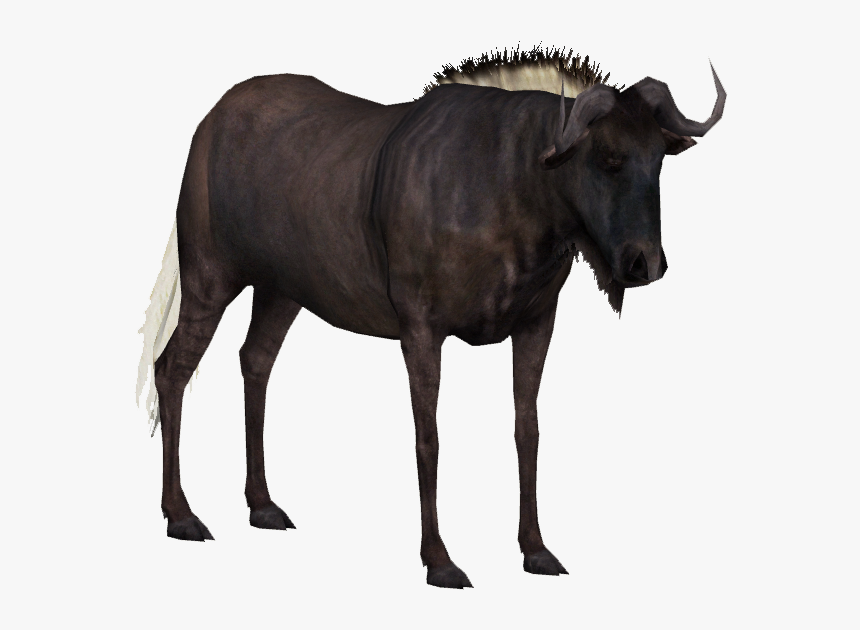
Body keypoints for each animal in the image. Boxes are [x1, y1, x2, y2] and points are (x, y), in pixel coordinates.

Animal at [136, 48, 725, 588]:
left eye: (658, 159)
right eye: (607, 157)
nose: (645, 263)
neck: (512, 186)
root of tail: (211, 121)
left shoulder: (537, 323)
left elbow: (527, 430)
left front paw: (536, 551)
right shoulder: (421, 330)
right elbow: (429, 439)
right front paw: (439, 560)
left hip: (281, 290)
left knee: (255, 361)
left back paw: (262, 505)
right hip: (210, 279)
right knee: (173, 369)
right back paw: (181, 515)